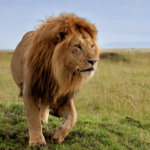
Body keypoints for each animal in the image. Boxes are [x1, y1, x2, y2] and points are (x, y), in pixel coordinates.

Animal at [10, 13, 99, 146]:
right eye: (77, 46)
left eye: (92, 46)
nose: (94, 61)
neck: (58, 72)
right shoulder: (30, 89)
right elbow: (33, 118)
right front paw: (37, 141)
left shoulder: (63, 95)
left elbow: (74, 116)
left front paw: (58, 136)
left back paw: (45, 117)